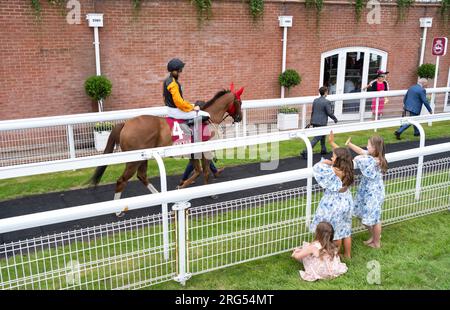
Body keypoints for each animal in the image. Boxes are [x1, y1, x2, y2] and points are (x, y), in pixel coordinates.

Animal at [89, 86, 243, 213]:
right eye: (240, 102)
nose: (239, 117)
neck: (207, 119)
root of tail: (126, 124)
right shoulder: (205, 151)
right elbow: (203, 172)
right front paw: (206, 192)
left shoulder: (193, 153)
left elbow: (199, 171)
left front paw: (183, 185)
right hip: (134, 160)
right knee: (122, 180)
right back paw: (118, 210)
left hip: (143, 157)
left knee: (142, 176)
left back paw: (159, 197)